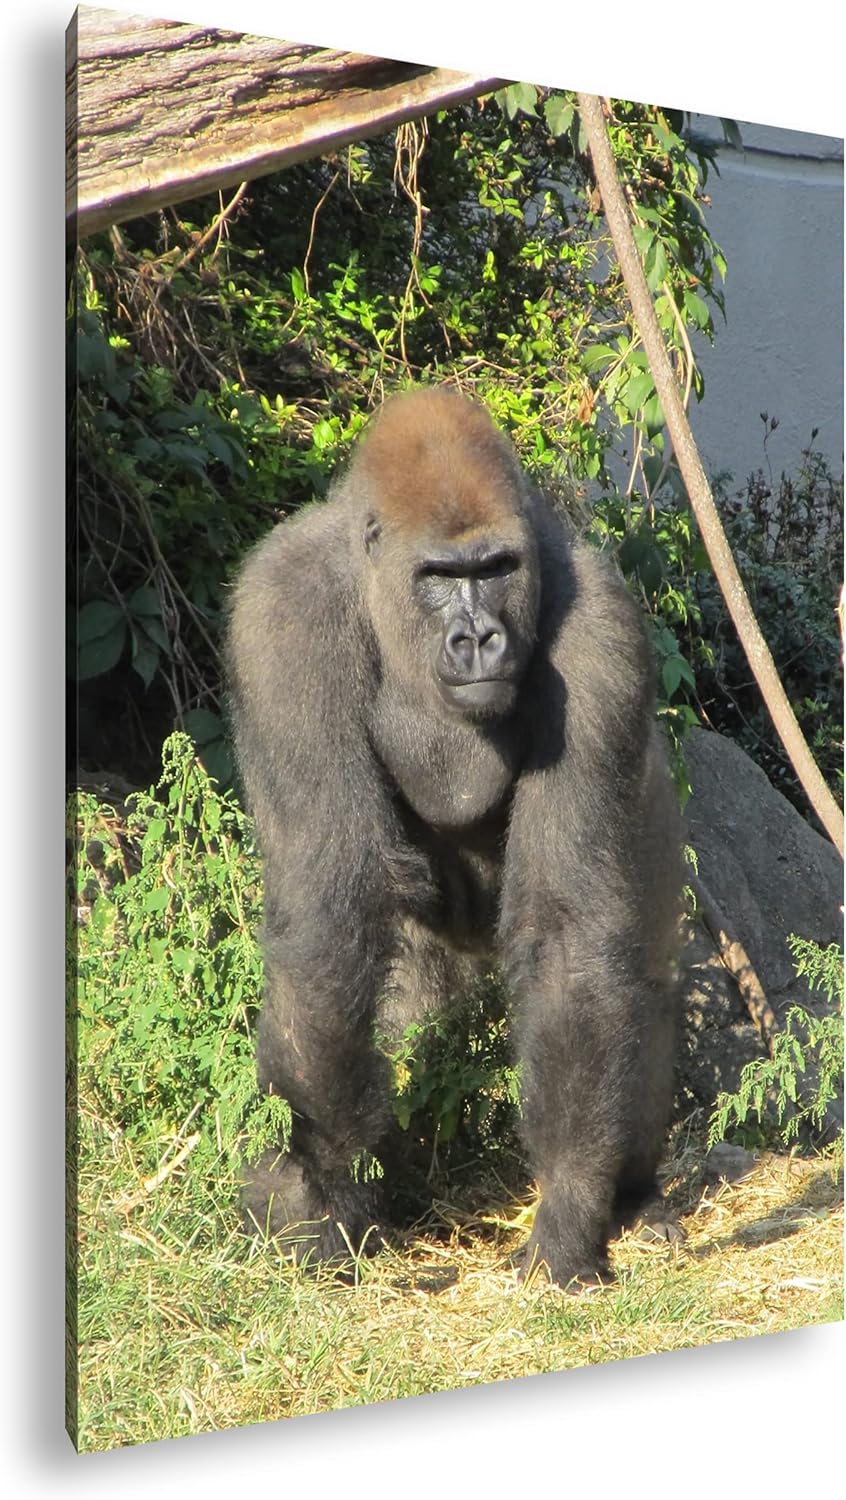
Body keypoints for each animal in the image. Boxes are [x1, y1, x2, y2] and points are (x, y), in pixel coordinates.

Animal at [226, 385, 683, 1288]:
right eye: (439, 578)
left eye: (496, 570)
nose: (478, 638)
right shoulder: (283, 614)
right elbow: (330, 917)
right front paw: (316, 1188)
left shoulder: (603, 633)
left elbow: (568, 937)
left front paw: (571, 1208)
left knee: (632, 979)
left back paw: (634, 1196)